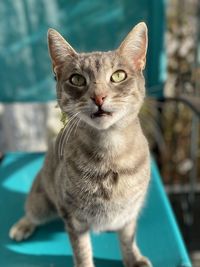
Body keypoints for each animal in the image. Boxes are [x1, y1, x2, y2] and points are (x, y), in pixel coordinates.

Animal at [9, 22, 152, 267]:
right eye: (77, 79)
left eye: (118, 75)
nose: (99, 97)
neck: (110, 155)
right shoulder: (73, 217)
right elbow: (82, 251)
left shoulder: (129, 213)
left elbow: (127, 239)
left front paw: (133, 258)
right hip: (41, 203)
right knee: (31, 212)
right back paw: (23, 225)